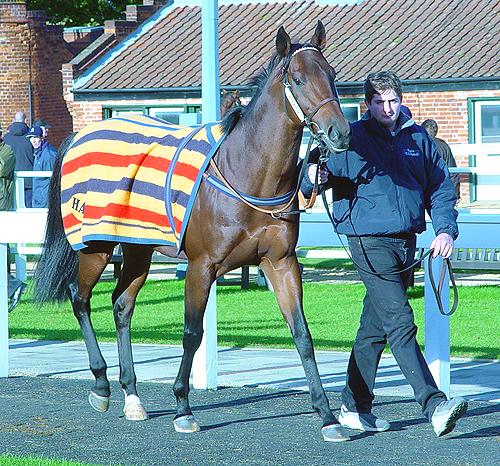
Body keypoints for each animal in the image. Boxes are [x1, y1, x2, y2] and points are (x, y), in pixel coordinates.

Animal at [34, 21, 351, 442]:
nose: (339, 132)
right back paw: (101, 385)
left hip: (138, 247)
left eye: (332, 75)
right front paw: (183, 406)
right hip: (96, 246)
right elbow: (192, 333)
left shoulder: (281, 263)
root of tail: (79, 135)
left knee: (121, 305)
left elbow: (302, 334)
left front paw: (327, 415)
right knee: (80, 298)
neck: (245, 173)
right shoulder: (202, 266)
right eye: (297, 79)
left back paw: (132, 396)